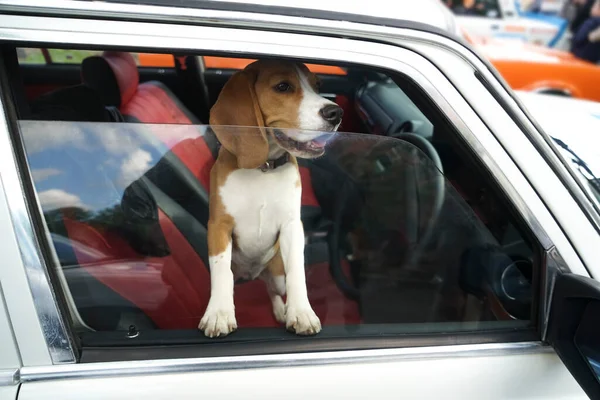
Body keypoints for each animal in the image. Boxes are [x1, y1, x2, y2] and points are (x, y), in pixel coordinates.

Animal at [199, 57, 342, 336]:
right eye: (283, 87)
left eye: (318, 85)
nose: (336, 113)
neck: (262, 168)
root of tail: (253, 274)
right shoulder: (219, 226)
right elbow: (221, 272)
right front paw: (219, 313)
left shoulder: (291, 226)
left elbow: (297, 269)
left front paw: (301, 312)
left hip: (276, 275)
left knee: (272, 290)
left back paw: (281, 309)